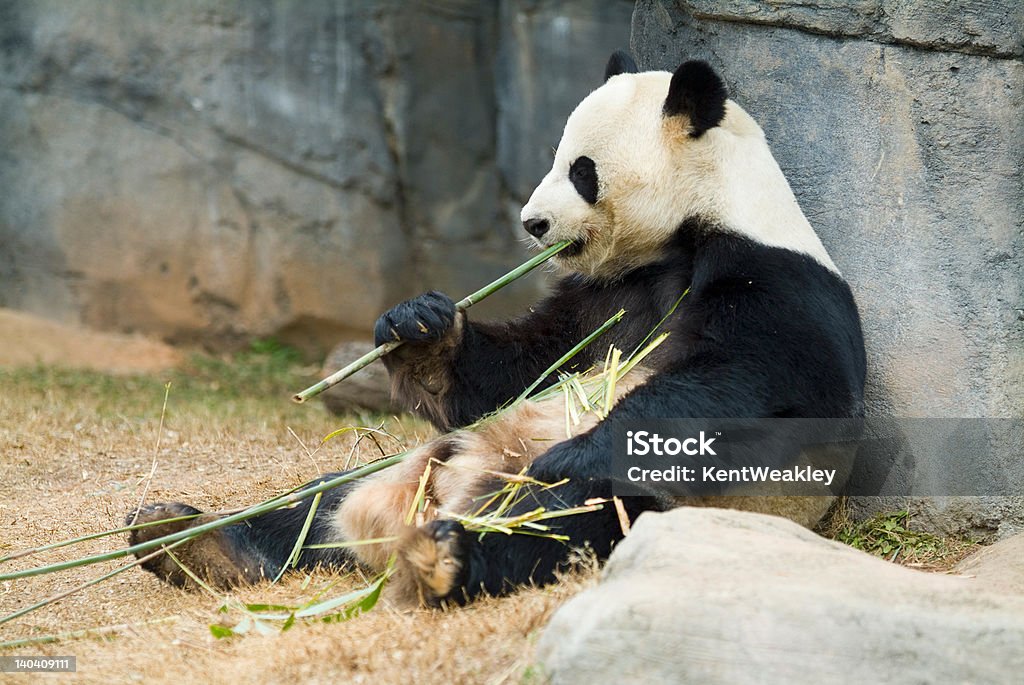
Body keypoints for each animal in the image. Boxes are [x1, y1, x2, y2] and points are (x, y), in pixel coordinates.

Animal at [128, 56, 864, 606]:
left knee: (557, 523)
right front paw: (421, 330)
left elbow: (745, 382)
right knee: (316, 501)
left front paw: (575, 450)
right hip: (414, 464)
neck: (689, 225)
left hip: (656, 502)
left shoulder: (777, 281)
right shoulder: (602, 294)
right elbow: (520, 369)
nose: (533, 224)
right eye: (557, 158)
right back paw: (191, 539)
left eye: (581, 171)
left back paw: (444, 557)